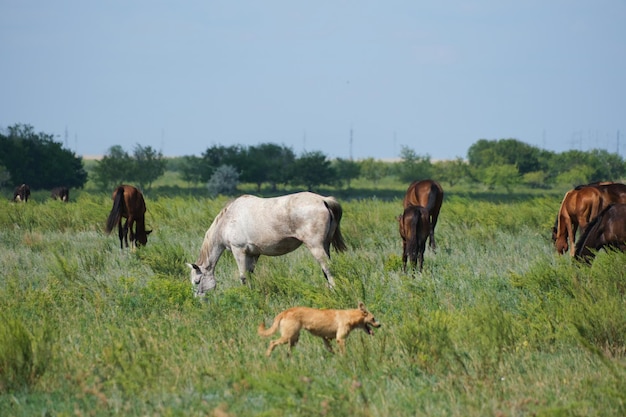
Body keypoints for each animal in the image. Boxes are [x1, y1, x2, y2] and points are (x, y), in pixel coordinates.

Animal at [188, 190, 348, 294]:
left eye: (197, 281)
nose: (200, 300)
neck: (228, 219)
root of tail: (323, 200)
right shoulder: (253, 254)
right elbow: (250, 274)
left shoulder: (238, 250)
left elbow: (243, 276)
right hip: (325, 245)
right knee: (326, 270)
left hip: (316, 247)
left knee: (328, 268)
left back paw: (334, 290)